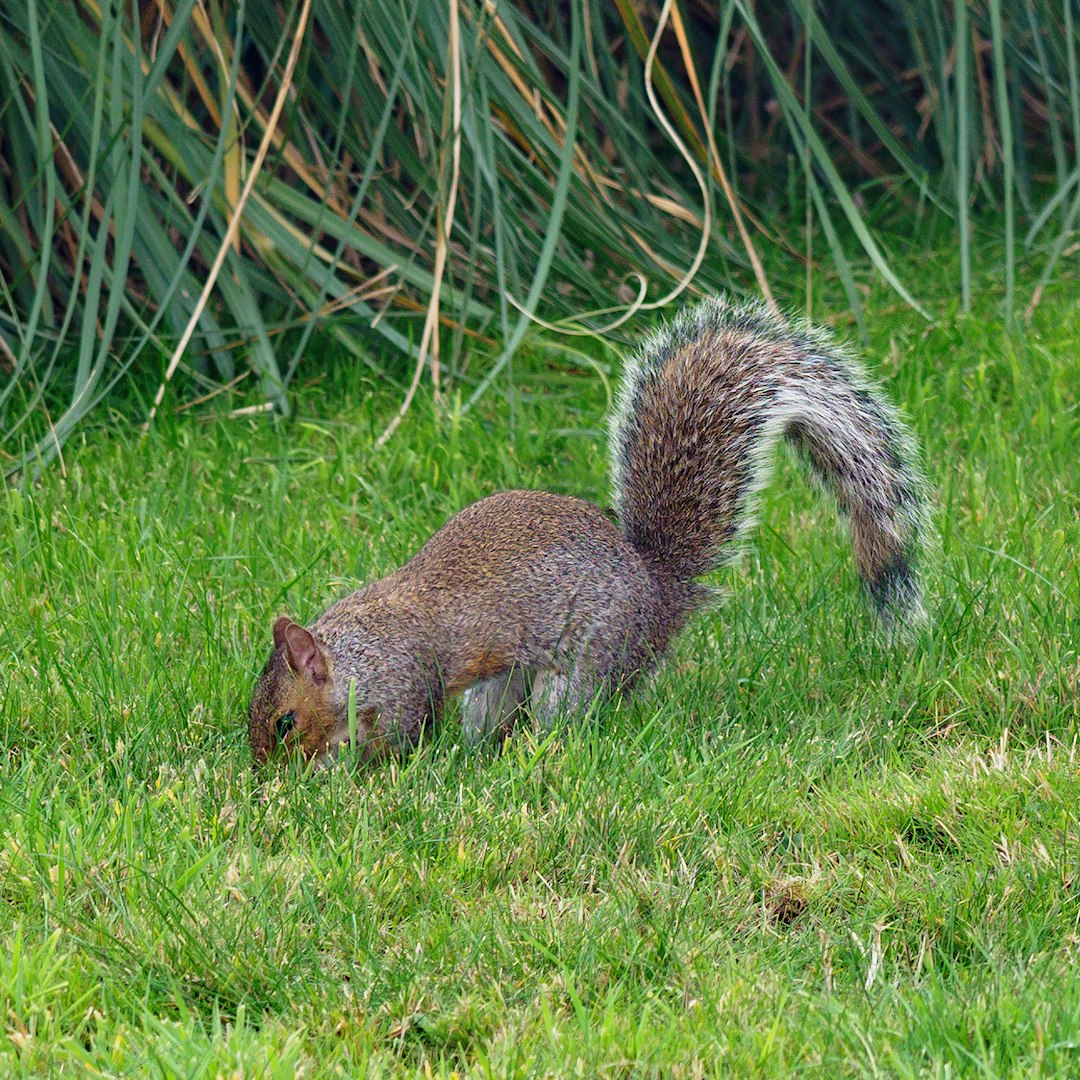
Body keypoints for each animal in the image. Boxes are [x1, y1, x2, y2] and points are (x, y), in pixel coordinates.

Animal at [247, 298, 928, 768]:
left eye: (284, 722)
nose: (264, 778)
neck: (354, 655)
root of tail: (656, 593)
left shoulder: (407, 685)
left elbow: (401, 739)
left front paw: (355, 774)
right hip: (500, 685)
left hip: (582, 663)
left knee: (568, 715)